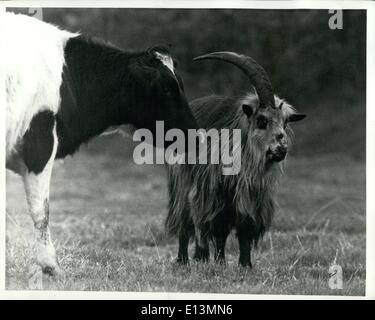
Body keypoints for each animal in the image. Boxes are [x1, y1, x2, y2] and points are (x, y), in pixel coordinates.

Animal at [166, 52, 306, 268]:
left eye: (285, 122)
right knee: (186, 221)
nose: (281, 149)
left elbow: (242, 230)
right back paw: (186, 259)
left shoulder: (251, 197)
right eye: (261, 120)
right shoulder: (211, 192)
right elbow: (212, 226)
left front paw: (244, 264)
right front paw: (211, 260)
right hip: (183, 185)